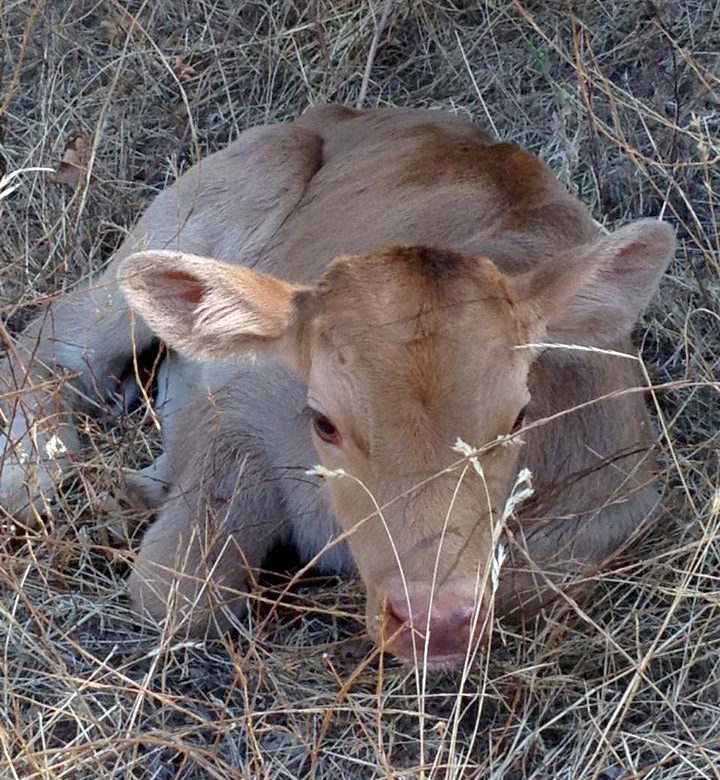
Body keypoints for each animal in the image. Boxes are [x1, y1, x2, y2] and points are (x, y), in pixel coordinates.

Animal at [2, 103, 672, 664]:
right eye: (322, 420)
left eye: (518, 418)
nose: (435, 621)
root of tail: (339, 113)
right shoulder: (243, 407)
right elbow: (174, 594)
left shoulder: (616, 502)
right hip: (214, 202)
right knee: (49, 342)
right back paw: (32, 473)